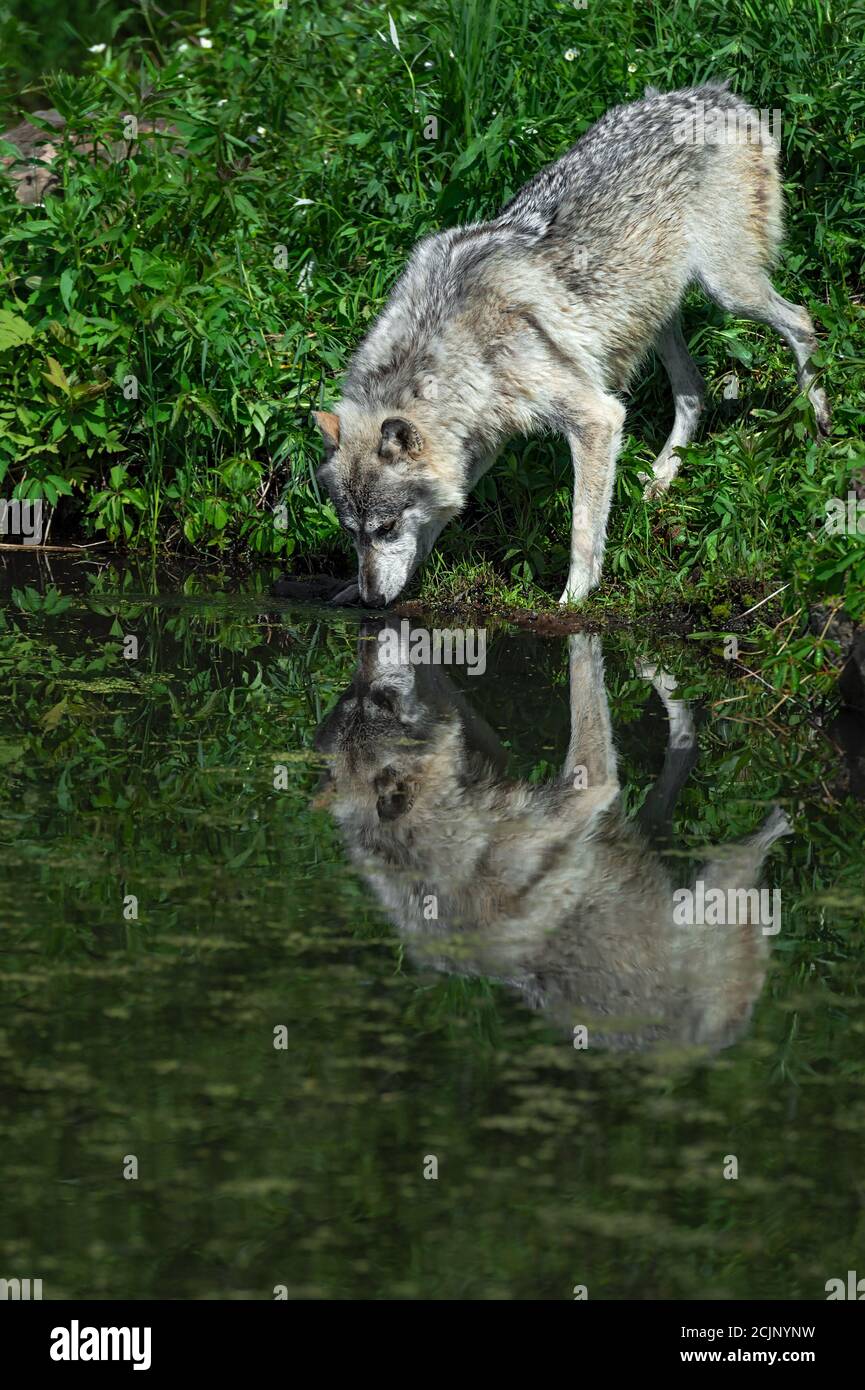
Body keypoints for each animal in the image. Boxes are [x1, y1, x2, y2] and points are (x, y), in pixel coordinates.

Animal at [313, 82, 830, 607]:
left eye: (386, 527)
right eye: (352, 533)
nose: (371, 600)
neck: (453, 344)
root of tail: (719, 96)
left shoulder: (597, 418)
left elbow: (583, 527)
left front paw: (575, 598)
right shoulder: (480, 443)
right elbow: (437, 522)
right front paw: (355, 590)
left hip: (728, 290)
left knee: (803, 320)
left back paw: (818, 416)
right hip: (657, 315)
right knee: (694, 391)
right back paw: (662, 477)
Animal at [314, 625, 792, 1052]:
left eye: (367, 696)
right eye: (379, 699)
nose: (371, 629)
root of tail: (705, 1047)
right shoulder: (591, 785)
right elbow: (582, 666)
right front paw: (582, 610)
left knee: (683, 748)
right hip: (713, 893)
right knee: (745, 853)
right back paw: (780, 817)